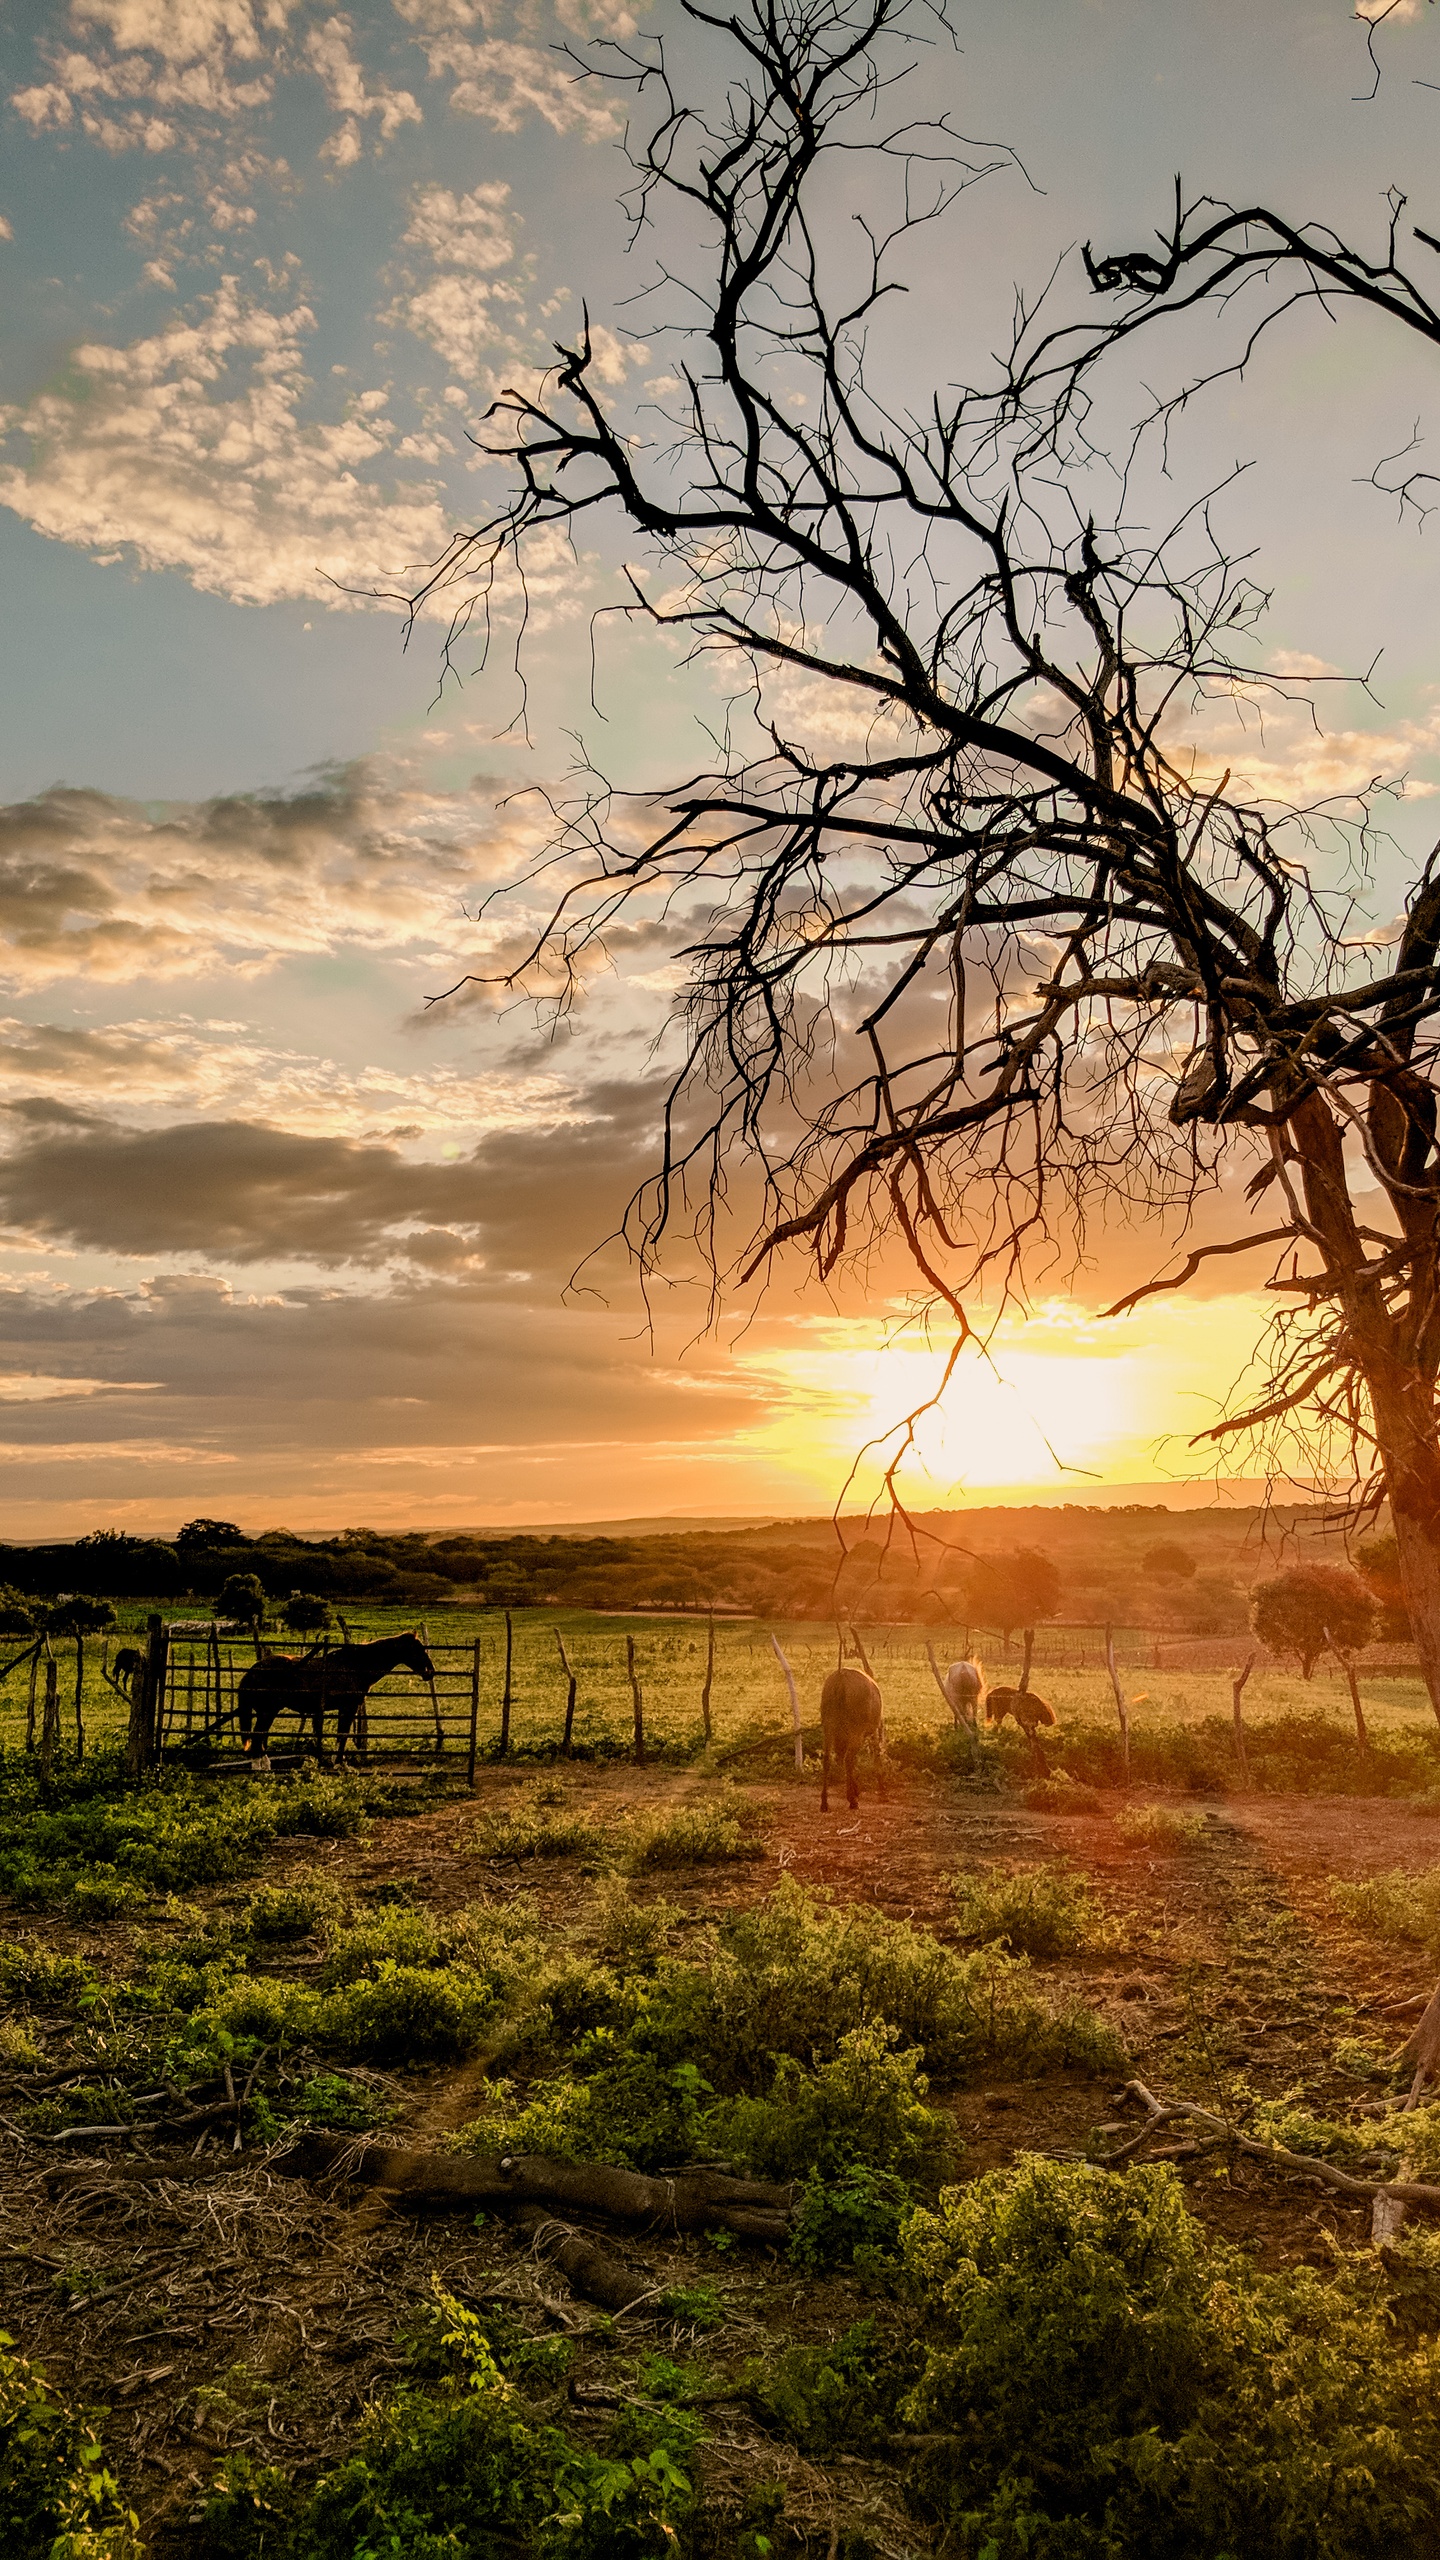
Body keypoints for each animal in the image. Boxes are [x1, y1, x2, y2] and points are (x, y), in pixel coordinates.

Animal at [237, 1628, 430, 1771]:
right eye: (418, 1649)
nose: (430, 1671)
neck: (355, 1666)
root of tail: (253, 1671)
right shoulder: (348, 1707)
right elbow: (343, 1735)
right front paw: (340, 1764)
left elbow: (340, 1735)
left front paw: (338, 1762)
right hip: (267, 1711)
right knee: (257, 1739)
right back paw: (260, 1770)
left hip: (267, 1712)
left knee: (260, 1738)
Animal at [814, 1669, 881, 1812]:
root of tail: (840, 1679)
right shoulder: (871, 1732)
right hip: (856, 1730)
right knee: (848, 1759)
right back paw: (852, 1800)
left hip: (828, 1726)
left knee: (828, 1758)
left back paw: (824, 1802)